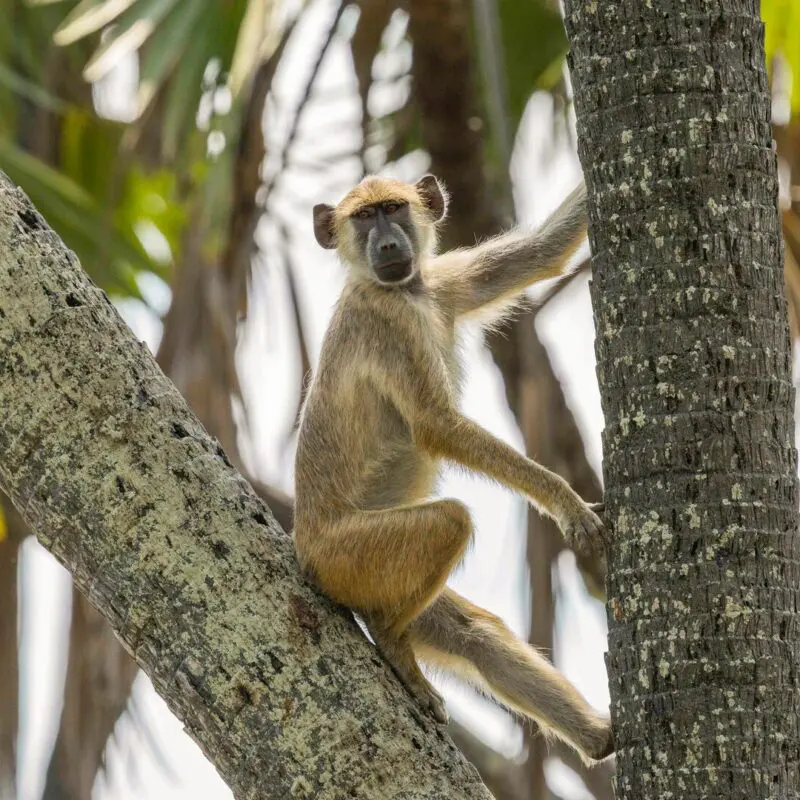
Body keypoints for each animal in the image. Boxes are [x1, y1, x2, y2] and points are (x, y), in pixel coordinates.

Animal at [293, 174, 613, 763]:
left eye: (393, 208)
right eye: (363, 218)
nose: (388, 244)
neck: (405, 291)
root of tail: (305, 549)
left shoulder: (440, 282)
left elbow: (543, 252)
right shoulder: (389, 324)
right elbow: (437, 426)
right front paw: (567, 503)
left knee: (474, 634)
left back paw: (601, 740)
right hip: (346, 559)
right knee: (449, 523)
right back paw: (389, 640)